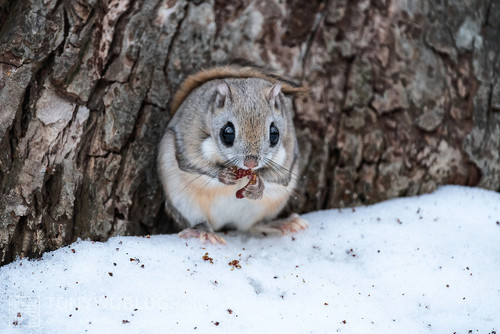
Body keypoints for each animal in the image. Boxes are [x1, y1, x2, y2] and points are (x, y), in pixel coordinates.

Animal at [158, 65, 310, 244]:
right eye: (227, 133)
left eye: (274, 134)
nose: (251, 163)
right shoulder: (190, 136)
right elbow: (193, 163)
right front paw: (223, 175)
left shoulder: (289, 149)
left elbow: (279, 177)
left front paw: (259, 187)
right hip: (184, 203)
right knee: (201, 221)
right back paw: (205, 232)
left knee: (256, 224)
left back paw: (283, 223)